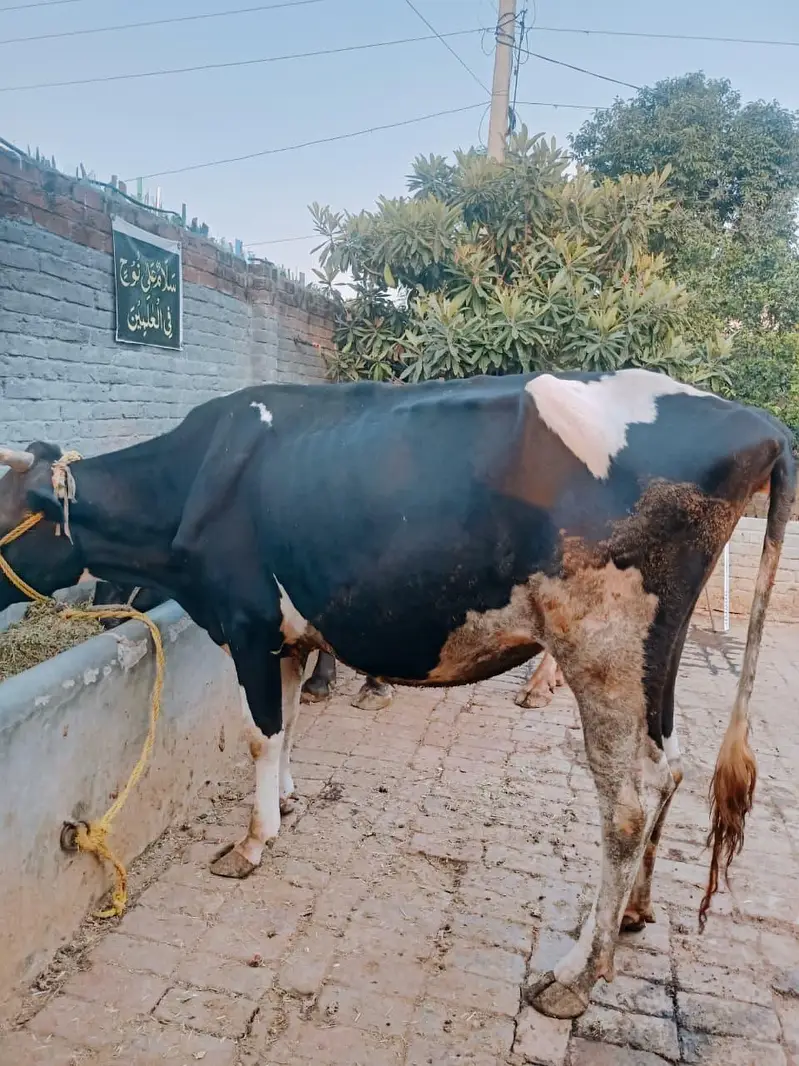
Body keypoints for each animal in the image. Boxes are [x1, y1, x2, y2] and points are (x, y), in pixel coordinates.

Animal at [0, 369, 792, 1020]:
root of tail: (755, 423)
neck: (195, 482)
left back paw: (574, 976)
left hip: (602, 648)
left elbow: (261, 733)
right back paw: (632, 913)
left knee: (624, 807)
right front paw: (286, 801)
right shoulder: (288, 637)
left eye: (1, 514)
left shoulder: (247, 623)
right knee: (669, 769)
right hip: (655, 656)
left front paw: (252, 841)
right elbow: (289, 723)